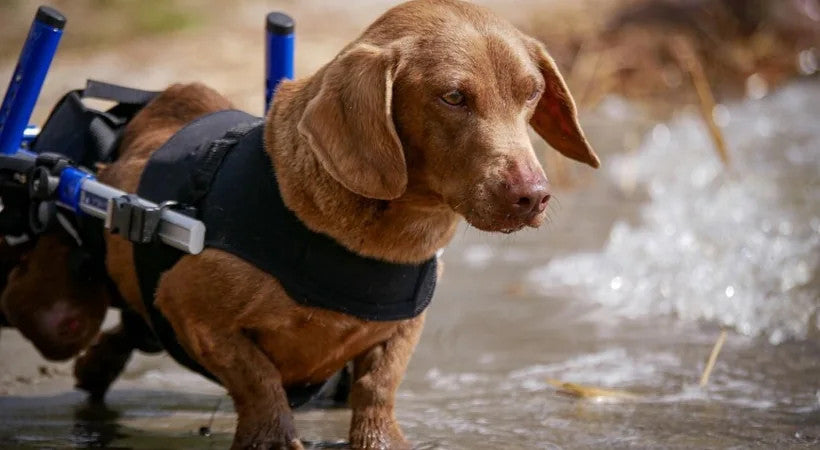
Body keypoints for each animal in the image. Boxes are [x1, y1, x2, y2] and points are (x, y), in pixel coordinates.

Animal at [104, 1, 604, 448]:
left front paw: (379, 436)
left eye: (532, 93)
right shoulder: (186, 305)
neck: (384, 240)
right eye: (453, 96)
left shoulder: (402, 331)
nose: (532, 196)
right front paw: (271, 437)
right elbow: (260, 382)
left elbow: (378, 388)